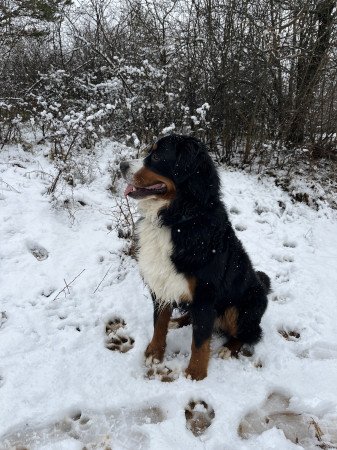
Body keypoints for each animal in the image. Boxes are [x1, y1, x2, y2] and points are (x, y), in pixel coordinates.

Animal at [119, 135, 270, 382]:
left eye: (157, 156)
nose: (121, 165)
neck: (178, 219)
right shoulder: (162, 283)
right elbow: (159, 323)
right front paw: (155, 352)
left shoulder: (205, 292)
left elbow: (200, 339)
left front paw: (195, 373)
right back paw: (177, 321)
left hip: (242, 307)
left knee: (250, 333)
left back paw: (228, 348)